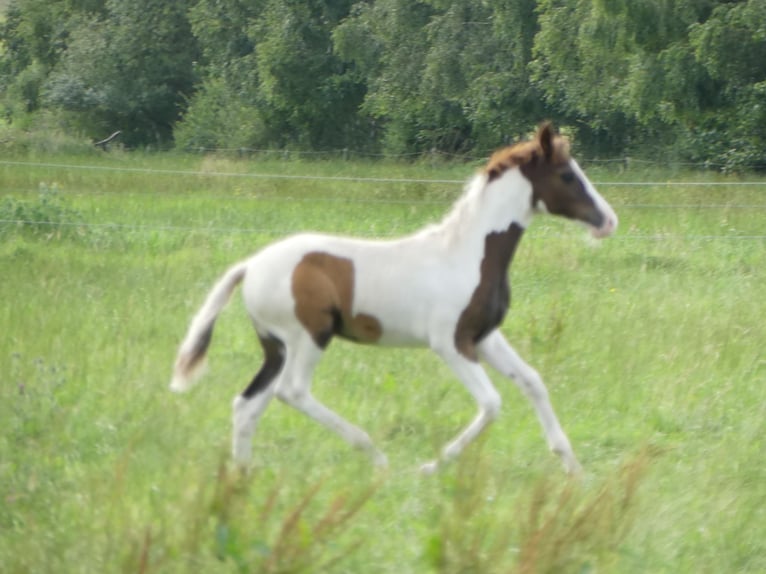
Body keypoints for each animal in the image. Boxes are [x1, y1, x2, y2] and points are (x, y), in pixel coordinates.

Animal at [171, 125, 620, 476]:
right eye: (567, 175)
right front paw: (432, 465)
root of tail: (250, 265)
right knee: (292, 391)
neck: (466, 253)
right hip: (308, 337)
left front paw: (573, 467)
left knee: (247, 405)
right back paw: (374, 455)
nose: (608, 222)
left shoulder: (485, 337)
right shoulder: (450, 343)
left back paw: (242, 474)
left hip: (275, 347)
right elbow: (492, 403)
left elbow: (532, 382)